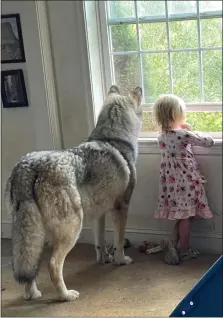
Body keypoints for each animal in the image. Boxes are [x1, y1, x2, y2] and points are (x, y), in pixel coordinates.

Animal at [5, 84, 143, 300]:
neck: (111, 138)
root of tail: (28, 166)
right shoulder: (121, 208)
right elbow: (119, 241)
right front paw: (121, 260)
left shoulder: (99, 213)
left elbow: (100, 242)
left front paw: (103, 259)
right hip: (72, 229)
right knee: (53, 265)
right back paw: (66, 295)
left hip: (35, 236)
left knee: (31, 267)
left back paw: (33, 294)